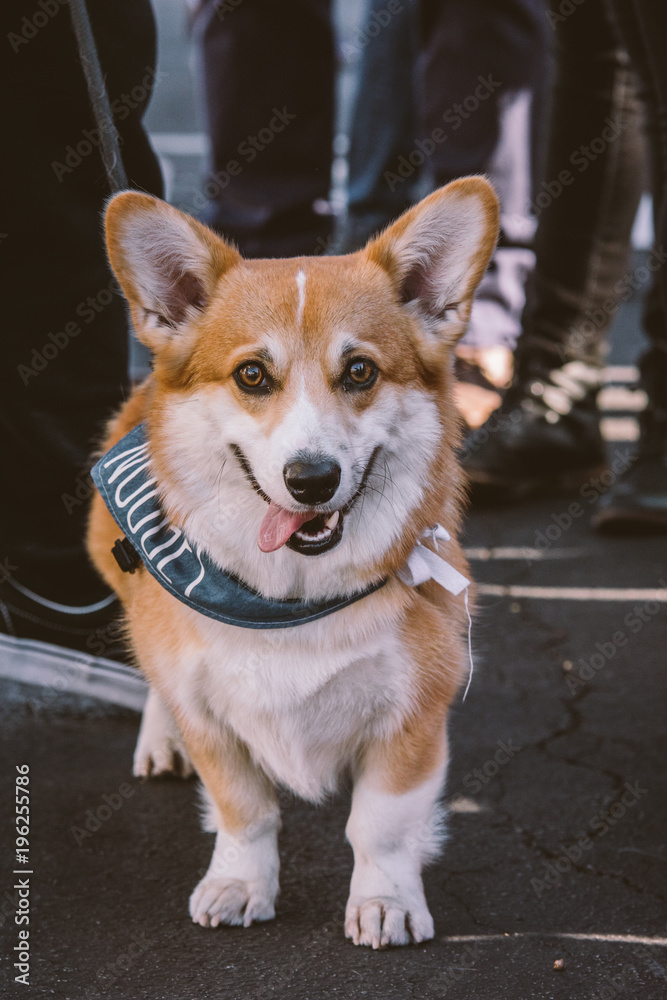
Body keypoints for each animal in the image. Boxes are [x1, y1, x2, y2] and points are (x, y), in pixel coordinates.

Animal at [87, 176, 496, 948]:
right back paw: (161, 738)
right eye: (252, 374)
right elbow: (244, 811)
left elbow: (380, 826)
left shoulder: (413, 714)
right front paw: (239, 886)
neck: (290, 601)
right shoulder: (212, 720)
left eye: (360, 370)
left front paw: (385, 902)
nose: (311, 480)